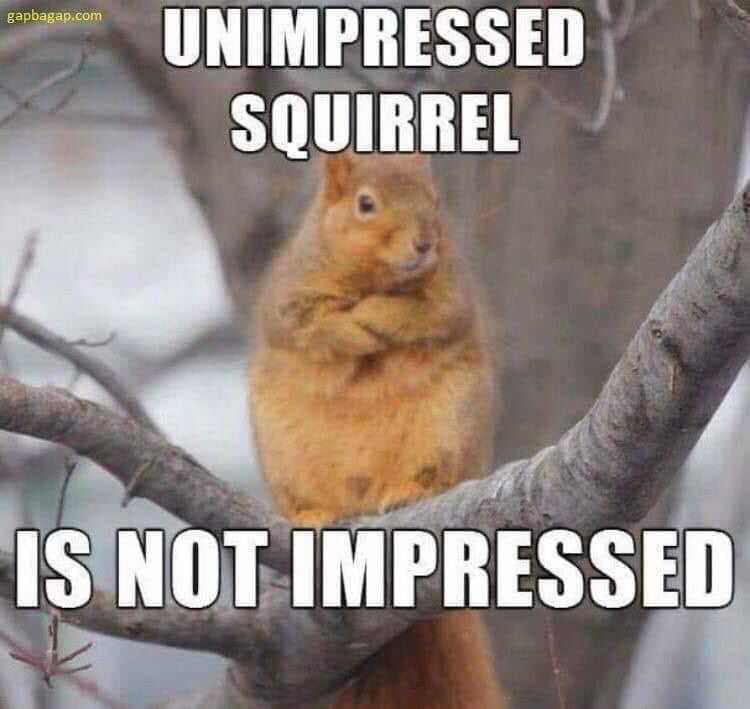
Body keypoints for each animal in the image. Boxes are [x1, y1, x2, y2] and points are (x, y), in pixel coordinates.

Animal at [248, 150, 503, 708]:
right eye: (365, 204)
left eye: (436, 199)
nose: (426, 242)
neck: (373, 278)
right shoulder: (288, 296)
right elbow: (310, 325)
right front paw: (352, 325)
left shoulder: (450, 295)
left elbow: (425, 313)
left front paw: (376, 314)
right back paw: (311, 515)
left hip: (448, 428)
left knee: (432, 471)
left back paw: (407, 490)